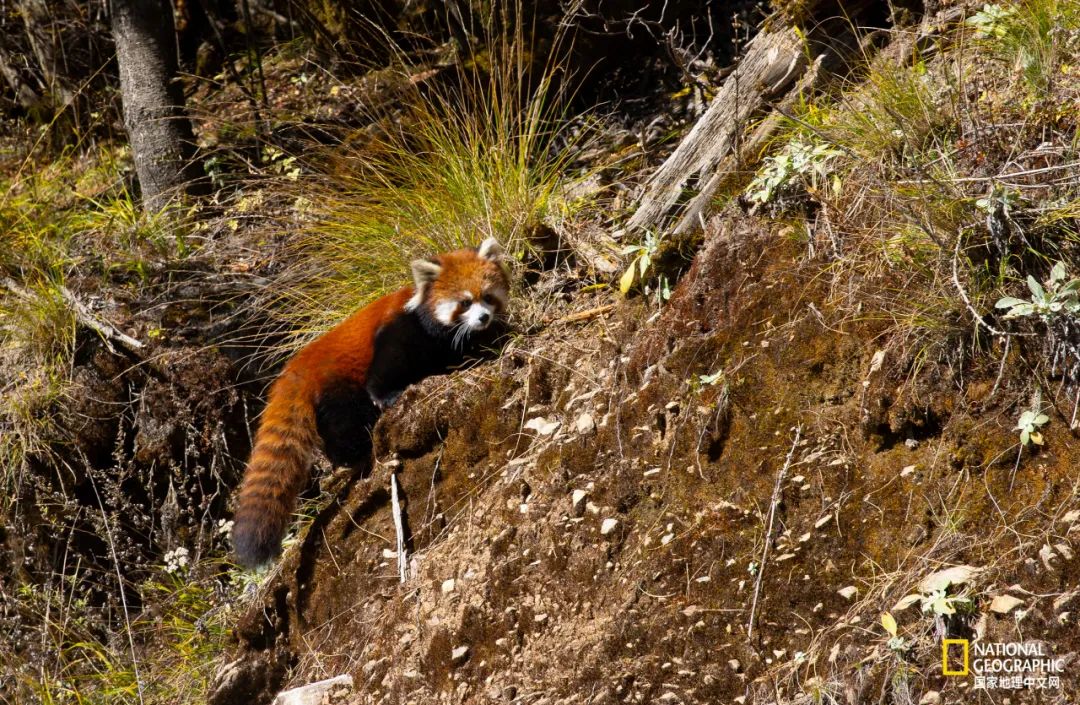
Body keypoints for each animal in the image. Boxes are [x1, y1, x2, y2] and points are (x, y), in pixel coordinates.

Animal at [233, 236, 509, 565]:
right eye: (465, 302)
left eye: (488, 297)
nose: (484, 318)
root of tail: (300, 366)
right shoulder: (401, 329)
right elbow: (387, 367)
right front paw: (387, 396)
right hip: (338, 387)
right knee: (345, 424)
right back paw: (355, 457)